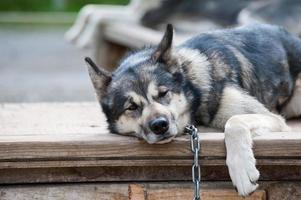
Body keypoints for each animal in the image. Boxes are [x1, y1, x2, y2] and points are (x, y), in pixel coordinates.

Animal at [83, 23, 300, 197]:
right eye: (132, 107)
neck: (192, 88)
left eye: (163, 93)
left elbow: (234, 122)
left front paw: (241, 170)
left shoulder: (271, 117)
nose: (160, 125)